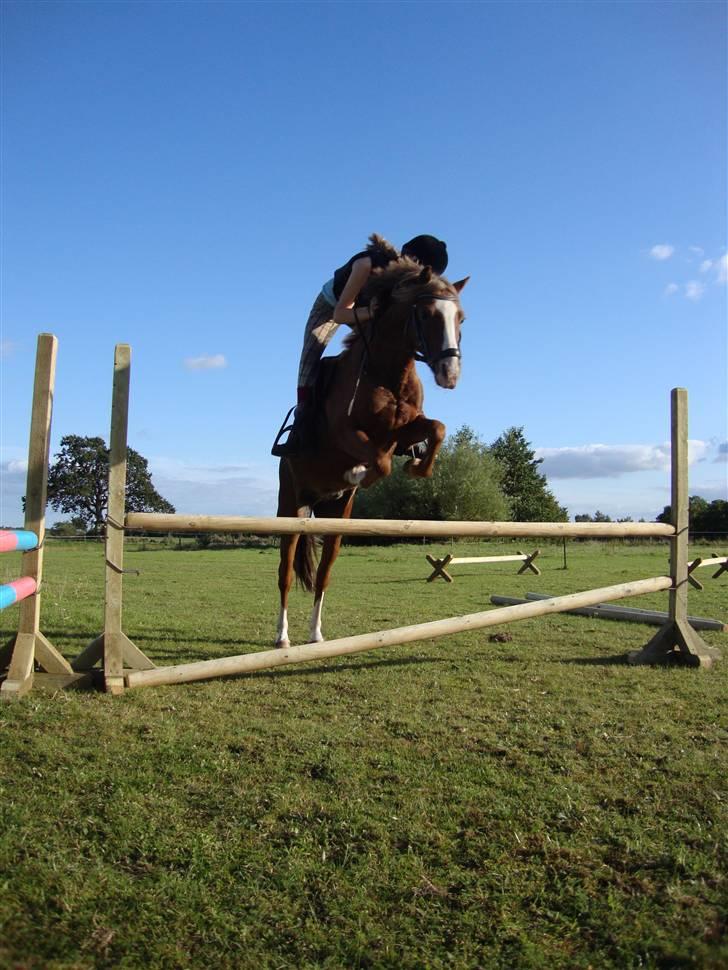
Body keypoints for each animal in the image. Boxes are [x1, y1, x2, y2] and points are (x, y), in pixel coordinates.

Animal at [275, 257, 469, 648]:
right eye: (427, 314)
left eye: (462, 318)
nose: (450, 374)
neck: (388, 371)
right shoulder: (345, 435)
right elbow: (379, 462)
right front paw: (359, 472)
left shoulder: (402, 429)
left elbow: (435, 430)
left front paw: (416, 466)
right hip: (291, 505)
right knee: (285, 574)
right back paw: (283, 637)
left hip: (336, 518)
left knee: (323, 574)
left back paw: (316, 634)